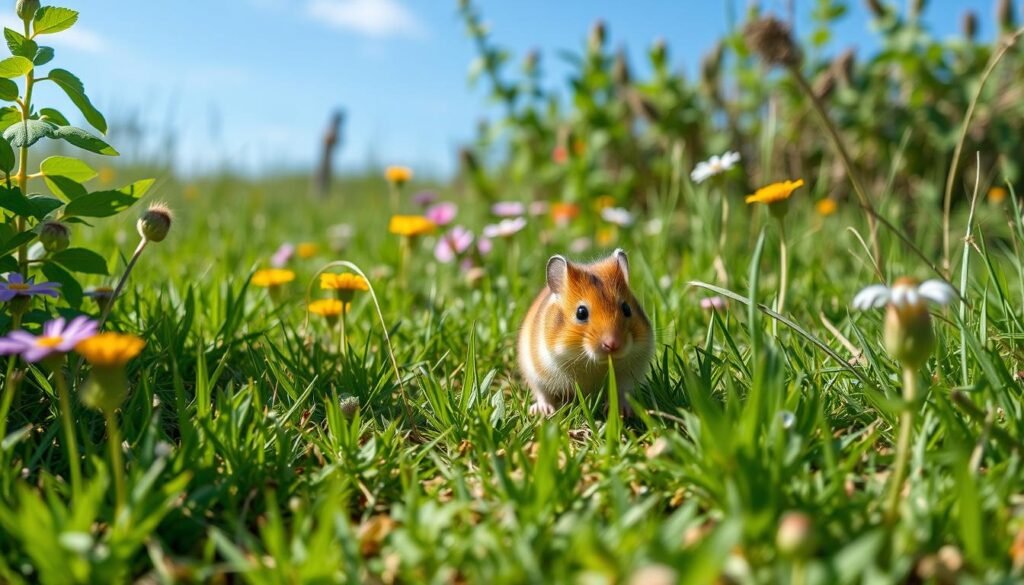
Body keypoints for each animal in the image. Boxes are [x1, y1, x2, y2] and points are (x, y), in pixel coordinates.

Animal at [520, 246, 655, 415]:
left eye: (626, 309)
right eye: (581, 313)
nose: (612, 344)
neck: (591, 363)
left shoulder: (629, 377)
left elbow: (622, 394)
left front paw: (623, 411)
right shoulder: (538, 373)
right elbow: (543, 394)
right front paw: (545, 412)